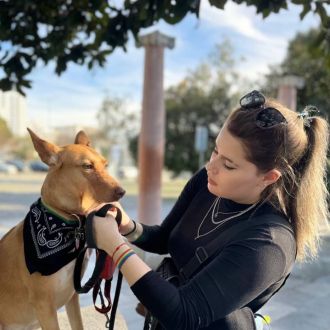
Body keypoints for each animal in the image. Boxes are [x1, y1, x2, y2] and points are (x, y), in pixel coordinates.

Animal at [0, 130, 125, 328]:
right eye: (87, 166)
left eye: (105, 164)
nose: (122, 192)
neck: (69, 225)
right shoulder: (45, 307)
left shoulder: (72, 295)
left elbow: (78, 325)